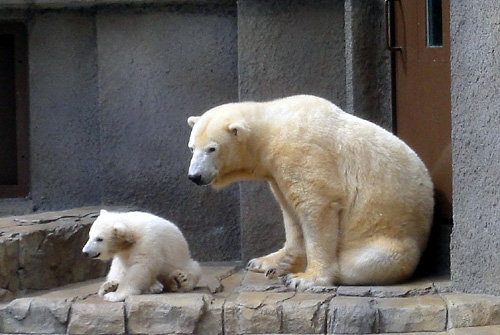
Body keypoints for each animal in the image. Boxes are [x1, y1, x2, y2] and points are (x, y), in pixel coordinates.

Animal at [188, 94, 434, 292]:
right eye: (192, 147)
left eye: (212, 148)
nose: (194, 176)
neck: (273, 128)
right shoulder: (276, 173)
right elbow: (290, 212)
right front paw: (271, 261)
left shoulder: (303, 152)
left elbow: (317, 207)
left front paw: (303, 277)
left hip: (389, 236)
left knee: (364, 262)